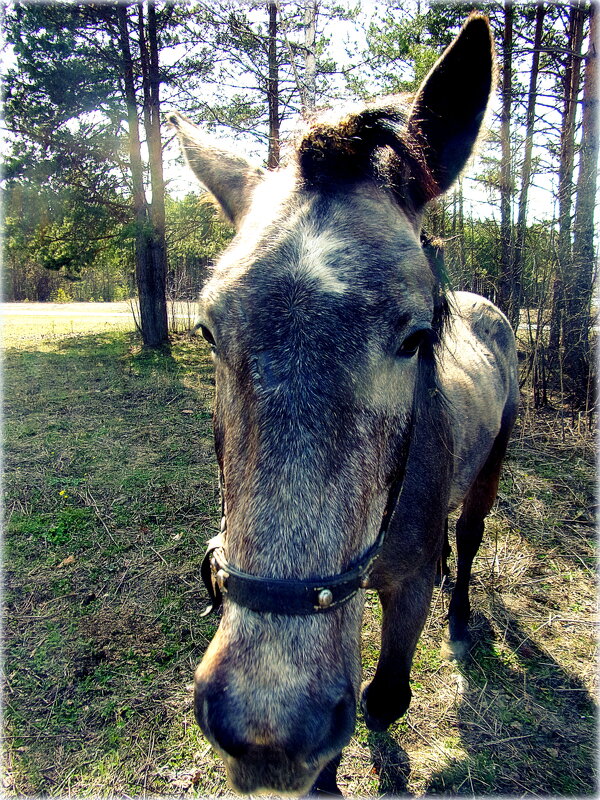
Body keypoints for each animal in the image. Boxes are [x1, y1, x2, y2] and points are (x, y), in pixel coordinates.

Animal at [168, 14, 516, 800]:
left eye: (418, 336)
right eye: (208, 329)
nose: (265, 734)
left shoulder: (403, 591)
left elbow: (380, 702)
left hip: (492, 471)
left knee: (470, 538)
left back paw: (461, 617)